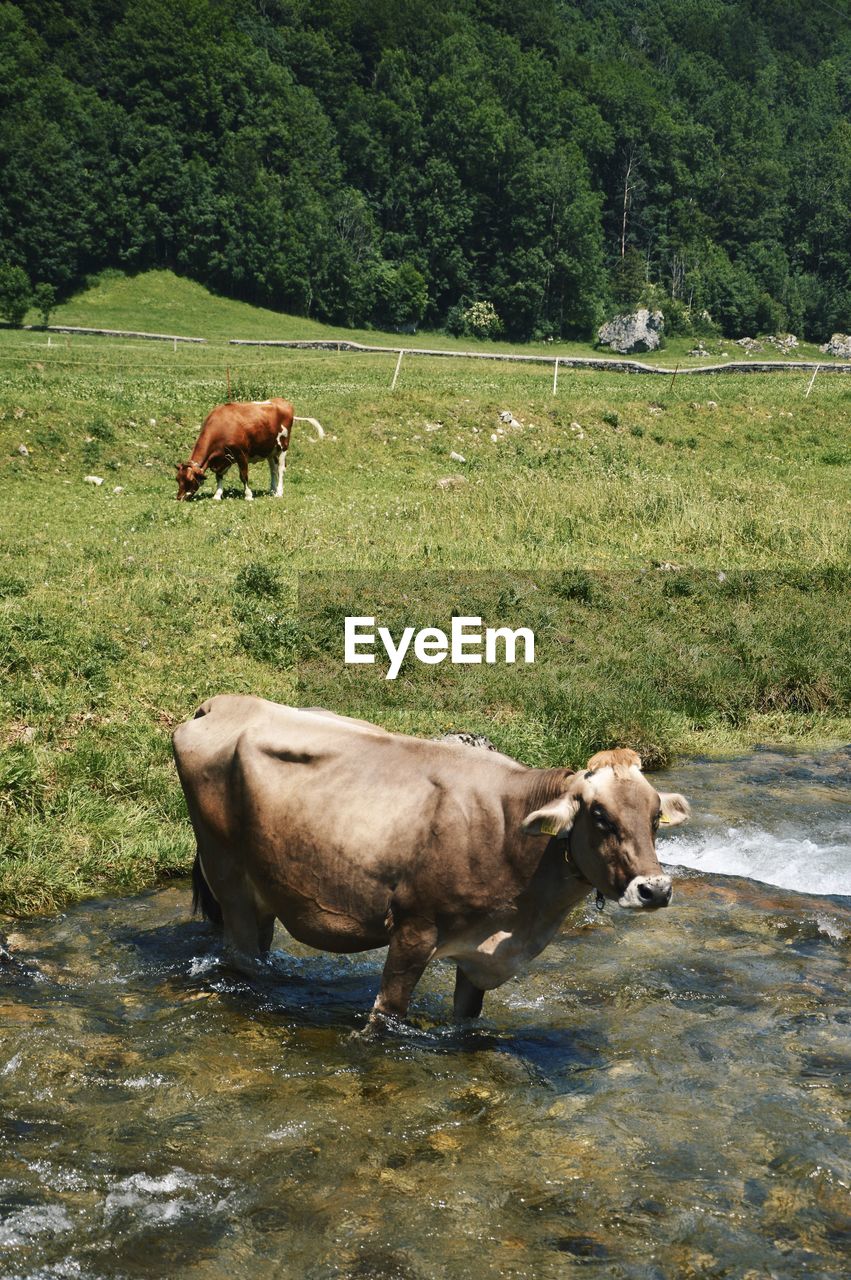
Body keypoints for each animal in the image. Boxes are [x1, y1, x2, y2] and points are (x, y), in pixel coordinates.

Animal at [168, 701, 685, 1029]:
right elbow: (385, 1017)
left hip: (266, 889)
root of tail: (217, 704)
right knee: (241, 957)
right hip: (228, 878)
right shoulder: (414, 929)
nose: (655, 890)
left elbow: (465, 1021)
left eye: (655, 815)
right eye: (599, 815)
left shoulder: (478, 954)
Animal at [174, 396, 319, 501]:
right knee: (273, 470)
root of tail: (282, 401)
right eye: (177, 479)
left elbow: (243, 475)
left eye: (190, 480)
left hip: (283, 446)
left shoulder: (241, 453)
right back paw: (272, 490)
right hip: (270, 450)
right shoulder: (223, 458)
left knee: (280, 469)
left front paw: (248, 495)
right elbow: (219, 476)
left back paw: (279, 492)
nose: (179, 498)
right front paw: (217, 495)